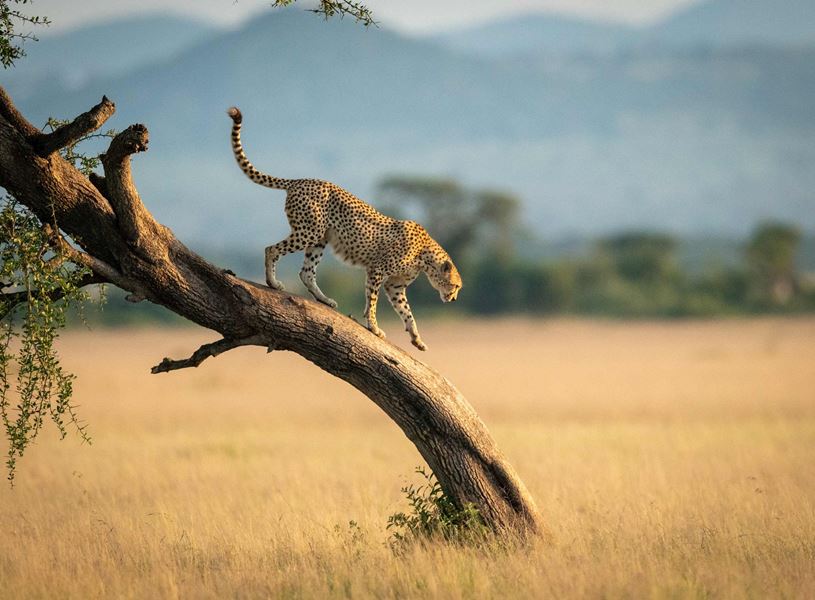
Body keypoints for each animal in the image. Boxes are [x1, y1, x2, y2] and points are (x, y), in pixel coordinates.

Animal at [227, 107, 462, 351]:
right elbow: (372, 301)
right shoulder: (377, 270)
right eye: (455, 286)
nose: (453, 298)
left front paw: (416, 338)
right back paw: (273, 283)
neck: (425, 256)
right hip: (309, 232)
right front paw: (374, 327)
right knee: (271, 249)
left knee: (306, 272)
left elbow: (407, 312)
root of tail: (301, 180)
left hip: (319, 238)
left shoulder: (395, 285)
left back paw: (324, 299)